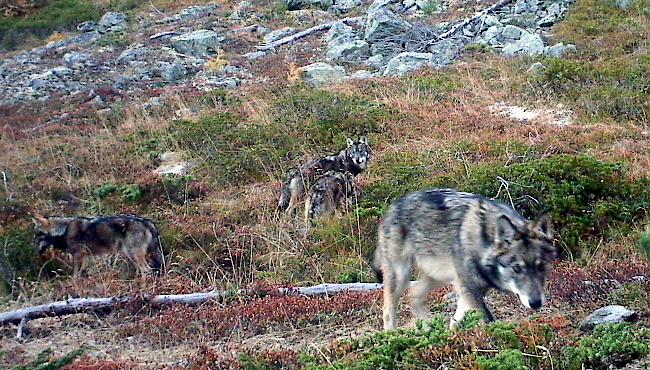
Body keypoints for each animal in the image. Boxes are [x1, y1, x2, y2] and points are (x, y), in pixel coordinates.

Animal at [32, 214, 165, 278]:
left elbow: (75, 276)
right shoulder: (85, 257)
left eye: (38, 235)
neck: (64, 230)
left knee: (146, 270)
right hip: (134, 256)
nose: (34, 252)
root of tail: (146, 221)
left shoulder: (79, 256)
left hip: (132, 254)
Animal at [372, 189, 556, 330]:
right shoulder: (468, 287)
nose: (536, 303)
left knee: (414, 295)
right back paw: (392, 336)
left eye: (541, 267)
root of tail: (392, 207)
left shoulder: (470, 288)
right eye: (516, 268)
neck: (483, 241)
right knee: (388, 310)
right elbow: (488, 319)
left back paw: (429, 327)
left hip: (439, 277)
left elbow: (455, 320)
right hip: (401, 276)